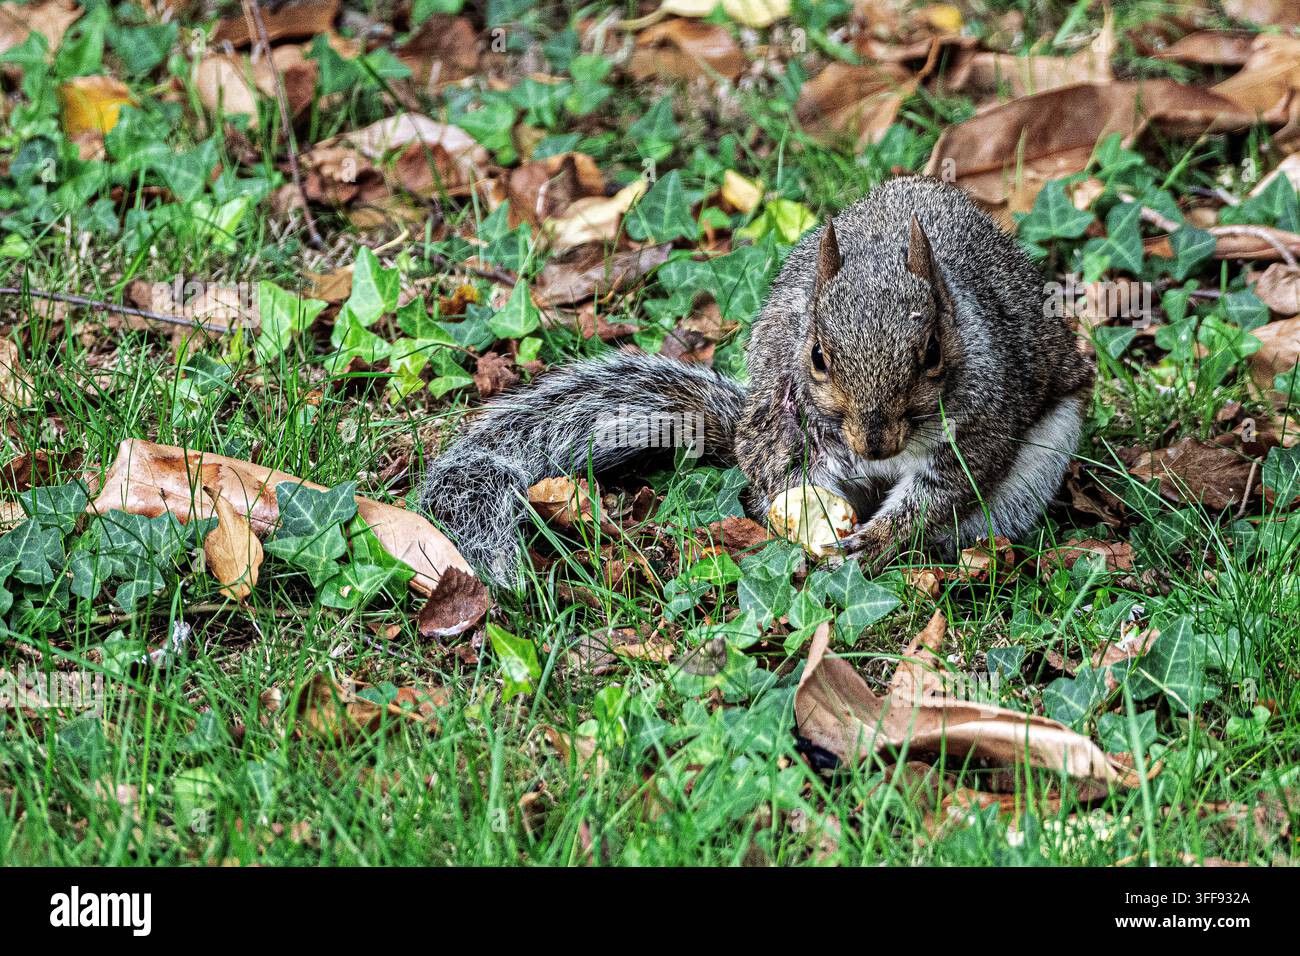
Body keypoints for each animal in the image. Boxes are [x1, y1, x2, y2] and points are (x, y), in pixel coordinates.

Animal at [420, 176, 1095, 587]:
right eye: (817, 355)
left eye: (931, 352)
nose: (873, 443)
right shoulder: (781, 412)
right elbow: (785, 474)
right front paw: (812, 515)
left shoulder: (982, 414)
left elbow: (946, 485)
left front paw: (880, 538)